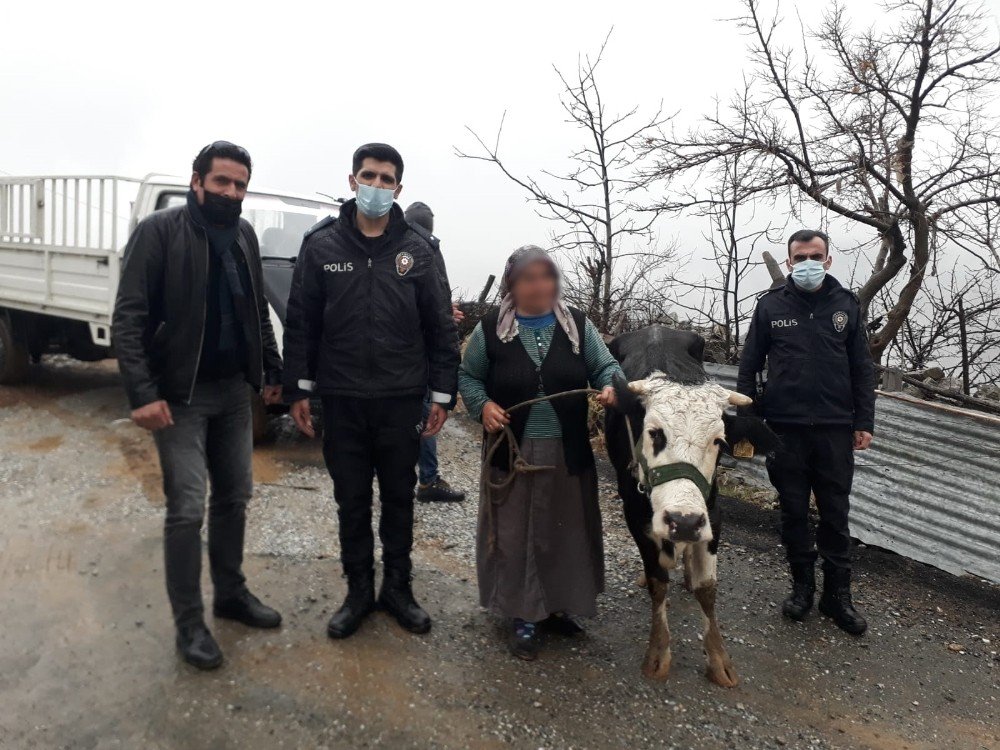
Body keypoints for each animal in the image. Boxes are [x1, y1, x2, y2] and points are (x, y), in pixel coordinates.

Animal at [604, 326, 776, 692]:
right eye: (654, 433)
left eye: (719, 441)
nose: (683, 522)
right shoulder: (637, 518)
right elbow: (658, 582)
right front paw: (657, 656)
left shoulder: (712, 516)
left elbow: (707, 588)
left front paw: (720, 661)